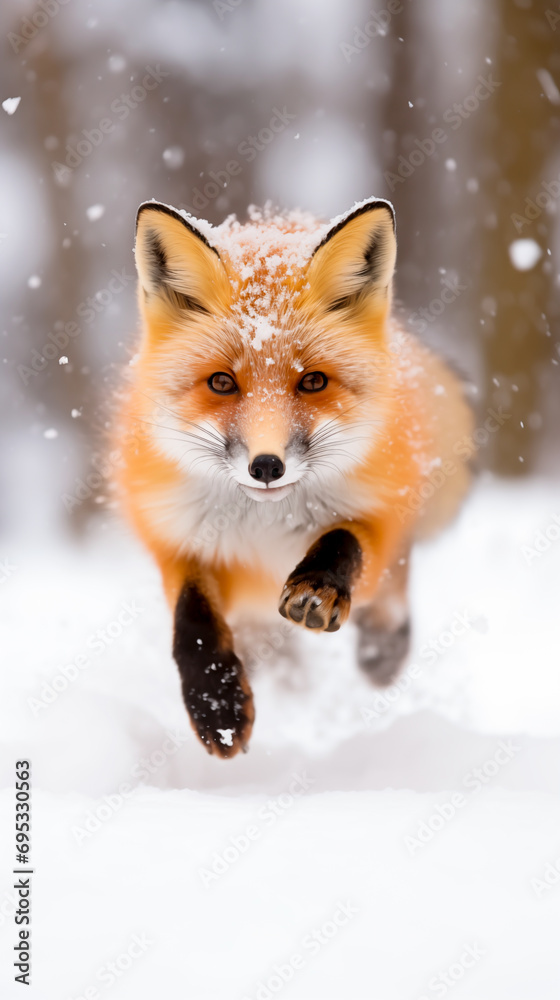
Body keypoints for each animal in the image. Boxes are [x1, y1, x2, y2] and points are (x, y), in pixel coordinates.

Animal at [116, 197, 473, 759]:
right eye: (222, 382)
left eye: (313, 381)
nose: (266, 466)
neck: (266, 527)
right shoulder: (180, 542)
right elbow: (191, 623)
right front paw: (217, 706)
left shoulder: (378, 512)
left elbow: (346, 541)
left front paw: (319, 587)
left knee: (395, 582)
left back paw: (383, 645)